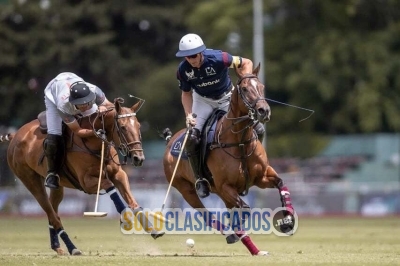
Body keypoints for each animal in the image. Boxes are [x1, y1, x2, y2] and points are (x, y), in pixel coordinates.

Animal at [1, 97, 164, 256]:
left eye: (139, 126)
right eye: (122, 127)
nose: (138, 158)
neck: (96, 143)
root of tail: (16, 135)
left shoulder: (118, 174)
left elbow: (133, 202)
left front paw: (152, 229)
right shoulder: (87, 182)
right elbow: (109, 186)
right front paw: (125, 219)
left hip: (58, 187)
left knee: (53, 212)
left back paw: (57, 247)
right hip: (30, 181)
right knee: (52, 214)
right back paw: (72, 248)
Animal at [162, 64, 296, 256]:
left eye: (261, 87)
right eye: (245, 89)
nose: (264, 111)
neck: (239, 140)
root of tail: (170, 141)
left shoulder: (262, 177)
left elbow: (281, 185)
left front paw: (288, 222)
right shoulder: (226, 186)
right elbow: (244, 210)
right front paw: (238, 231)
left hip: (218, 191)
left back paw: (249, 245)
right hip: (186, 189)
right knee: (206, 214)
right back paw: (234, 236)